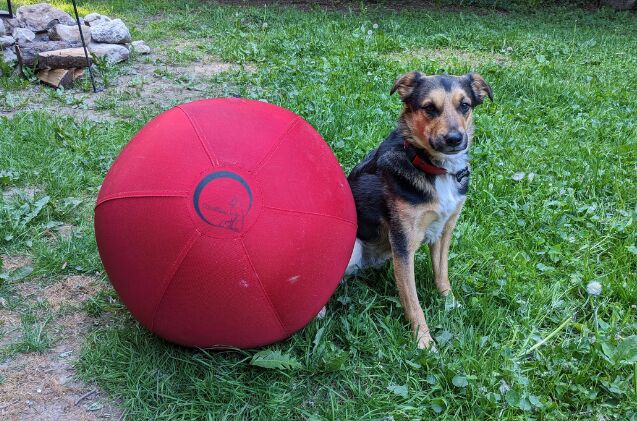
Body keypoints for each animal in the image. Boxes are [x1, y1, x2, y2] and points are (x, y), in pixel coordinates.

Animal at [348, 71, 492, 348]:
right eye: (429, 108)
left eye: (465, 105)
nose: (455, 139)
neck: (437, 168)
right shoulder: (403, 243)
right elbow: (413, 302)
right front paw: (424, 341)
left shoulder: (444, 229)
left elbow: (442, 273)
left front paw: (450, 303)